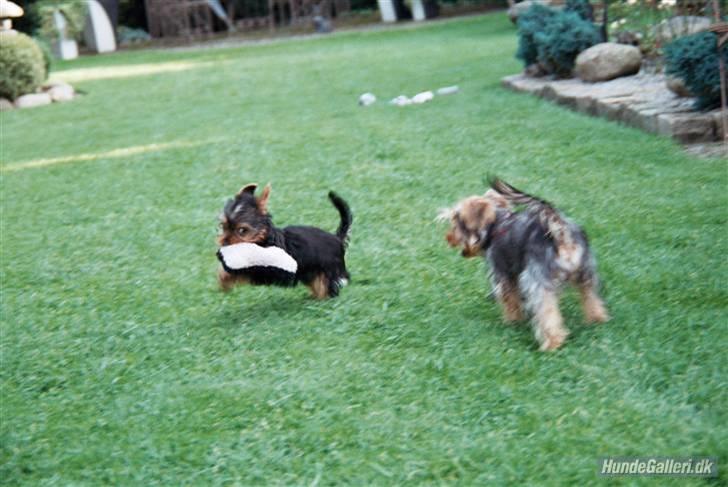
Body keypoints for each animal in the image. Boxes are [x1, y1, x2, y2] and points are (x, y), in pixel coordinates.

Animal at [218, 185, 352, 300]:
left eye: (242, 230)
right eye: (223, 226)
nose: (224, 242)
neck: (263, 238)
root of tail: (337, 238)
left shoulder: (264, 269)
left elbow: (240, 272)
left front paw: (225, 281)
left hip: (329, 269)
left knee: (327, 284)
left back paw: (324, 298)